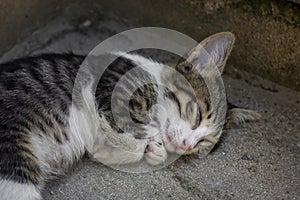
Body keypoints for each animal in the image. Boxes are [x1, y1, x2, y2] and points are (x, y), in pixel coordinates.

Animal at [0, 32, 260, 199]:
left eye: (203, 143)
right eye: (196, 116)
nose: (187, 146)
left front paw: (152, 149)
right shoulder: (108, 89)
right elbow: (131, 129)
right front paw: (139, 144)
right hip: (12, 159)